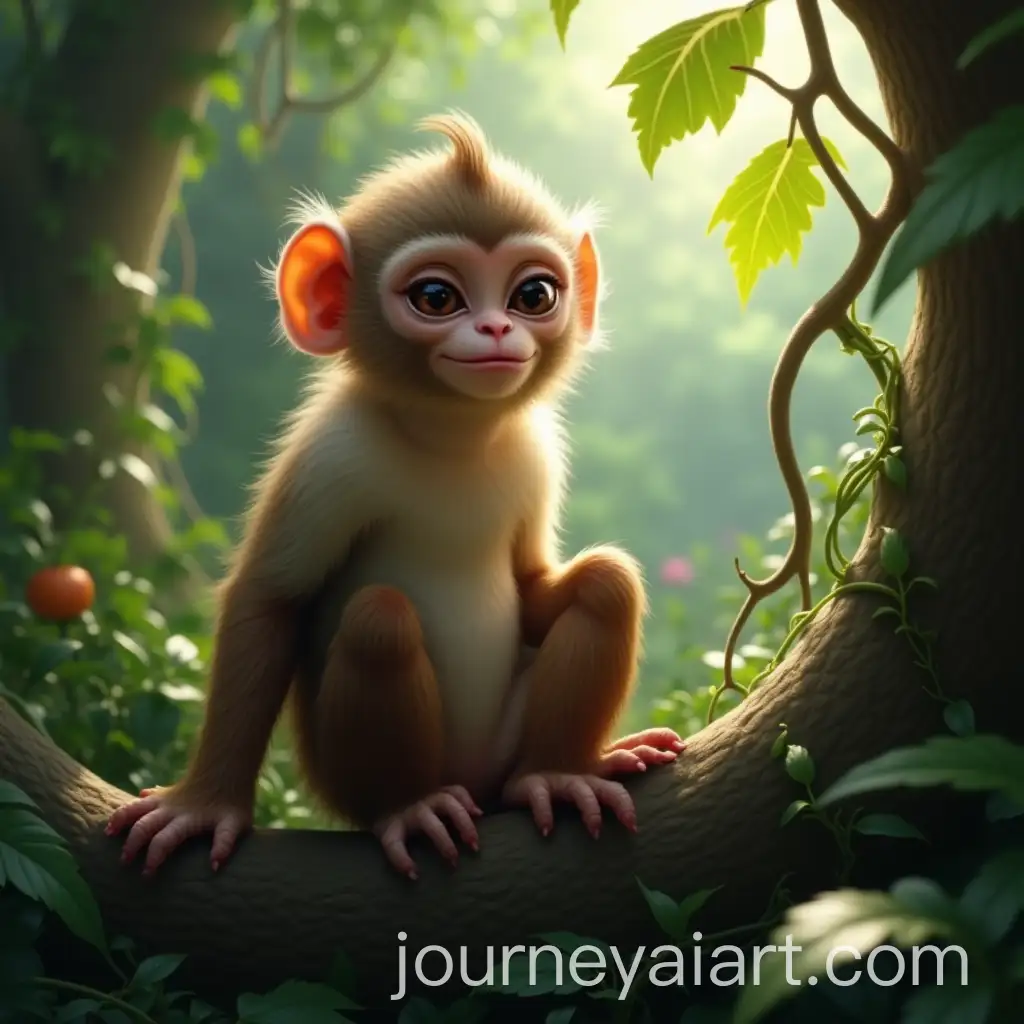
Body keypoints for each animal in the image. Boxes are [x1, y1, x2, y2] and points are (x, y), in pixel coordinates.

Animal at [106, 112, 685, 880]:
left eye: (534, 295)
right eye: (436, 298)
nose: (497, 328)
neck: (450, 437)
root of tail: (476, 785)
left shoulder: (538, 451)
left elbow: (539, 581)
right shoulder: (331, 455)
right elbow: (270, 601)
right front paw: (203, 807)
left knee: (606, 584)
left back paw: (556, 774)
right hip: (339, 771)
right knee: (380, 621)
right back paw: (409, 808)